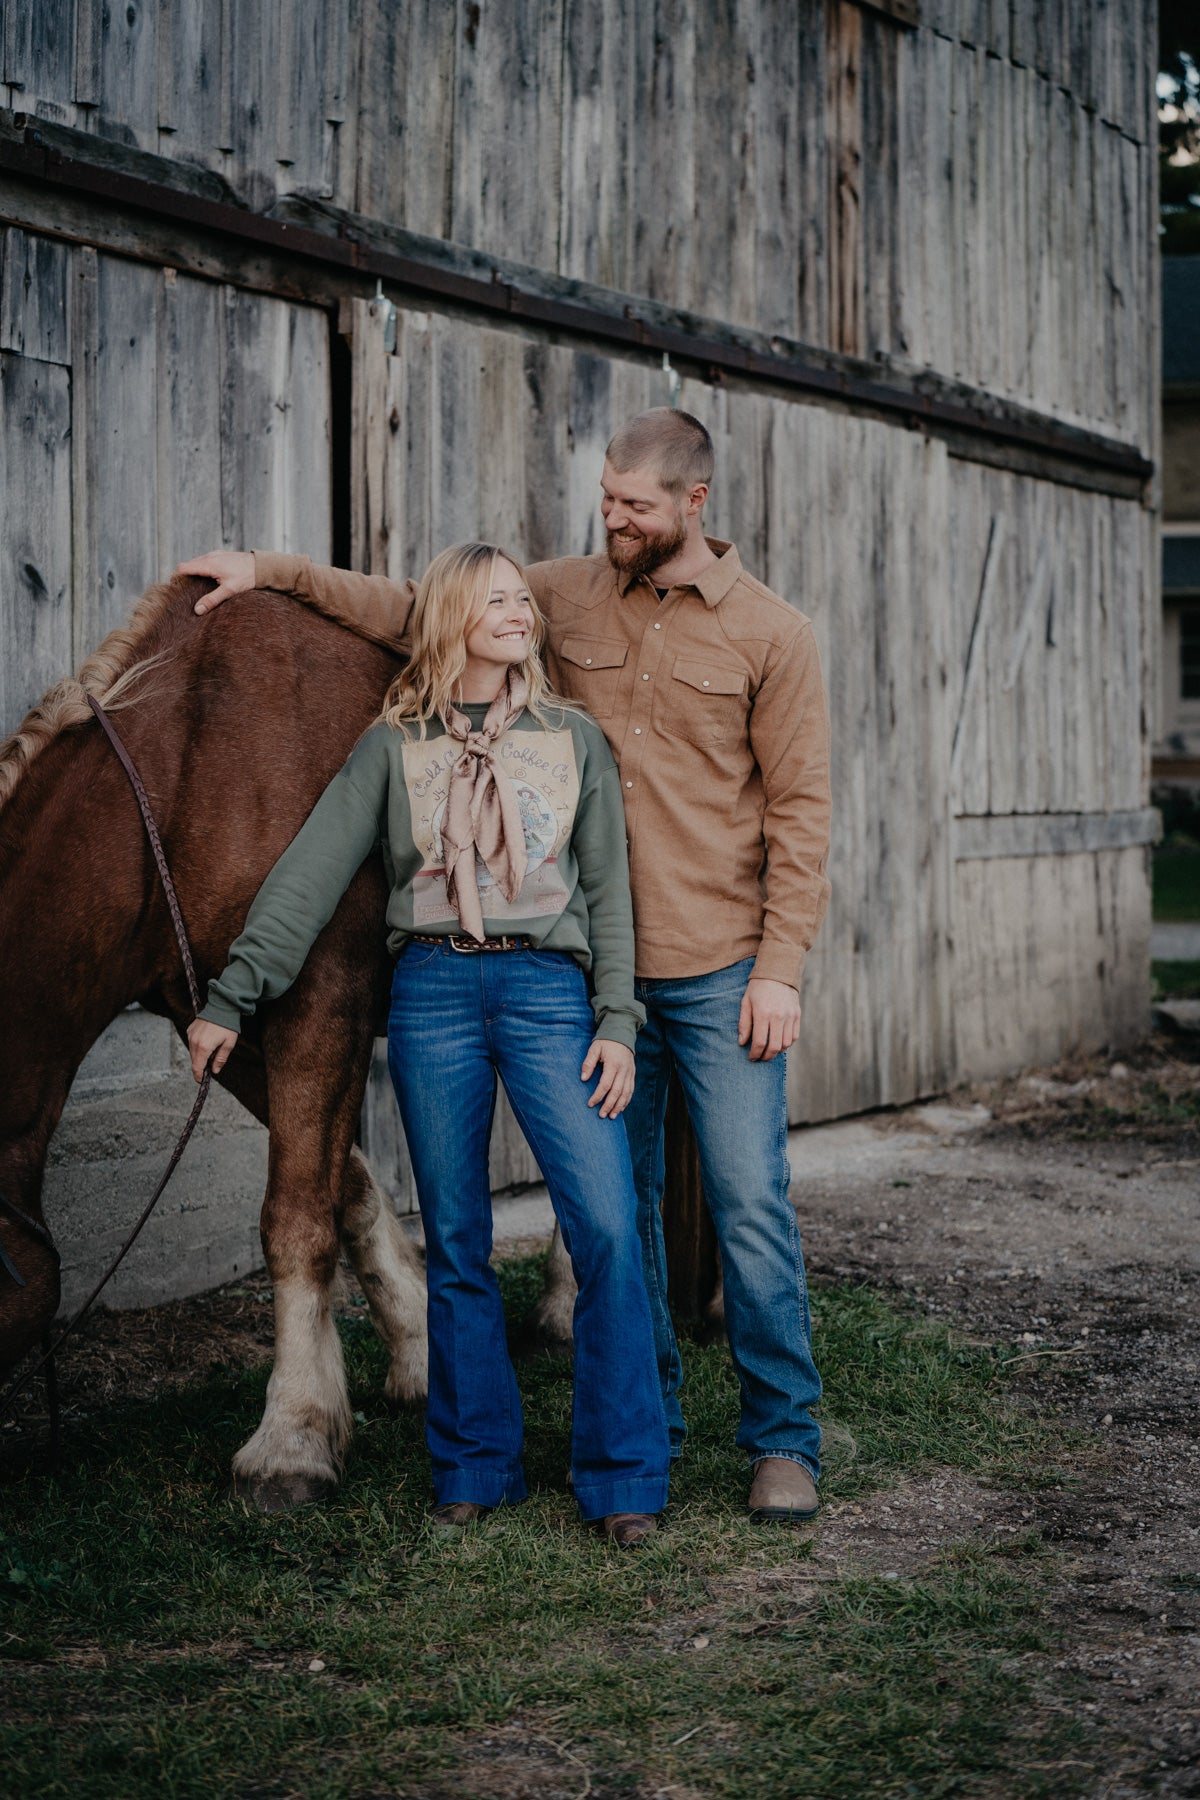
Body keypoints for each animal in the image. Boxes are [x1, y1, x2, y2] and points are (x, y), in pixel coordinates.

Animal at [0, 576, 431, 1504]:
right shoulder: (215, 1021)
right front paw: (418, 1349)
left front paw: (292, 1438)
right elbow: (344, 1188)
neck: (189, 769)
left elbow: (295, 1218)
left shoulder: (319, 1003)